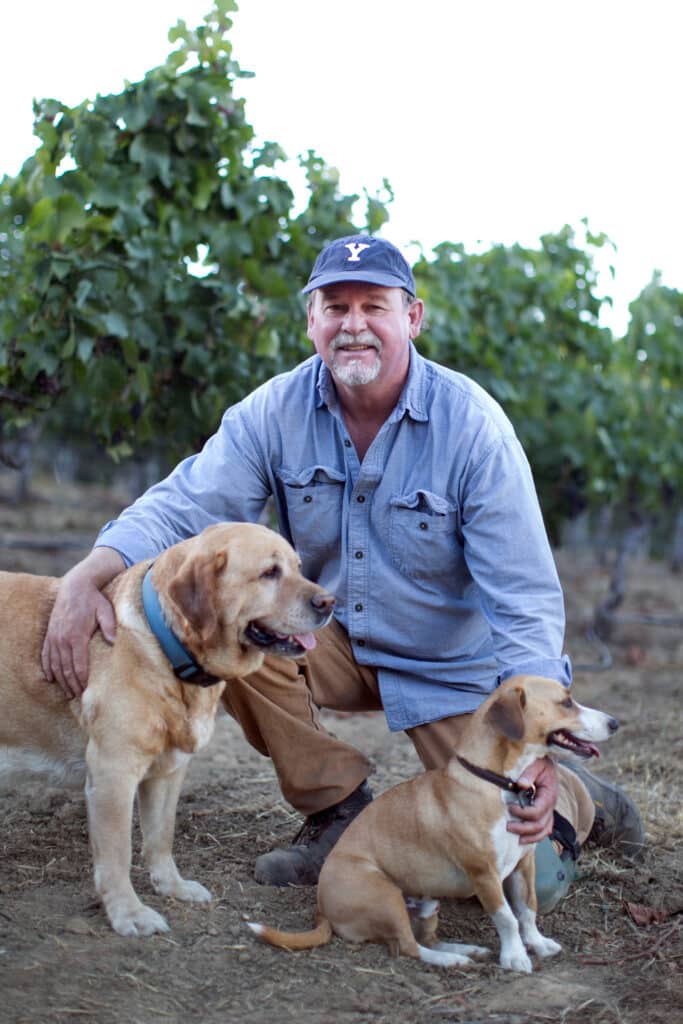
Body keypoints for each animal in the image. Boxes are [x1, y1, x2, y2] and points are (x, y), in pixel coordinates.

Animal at [0, 528, 333, 937]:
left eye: (298, 567)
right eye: (269, 572)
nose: (329, 602)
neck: (166, 649)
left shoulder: (168, 771)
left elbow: (161, 836)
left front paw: (172, 887)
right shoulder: (113, 774)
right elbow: (118, 854)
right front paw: (129, 914)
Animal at [250, 675, 618, 970]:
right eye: (566, 701)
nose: (615, 723)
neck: (499, 785)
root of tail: (322, 909)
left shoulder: (522, 865)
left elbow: (527, 912)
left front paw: (537, 945)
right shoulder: (485, 875)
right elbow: (507, 918)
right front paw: (514, 957)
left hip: (428, 903)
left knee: (424, 939)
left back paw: (464, 949)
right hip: (386, 897)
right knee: (409, 948)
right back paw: (451, 960)